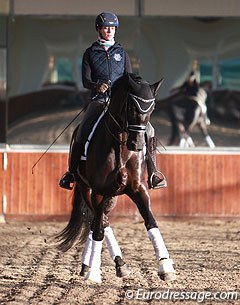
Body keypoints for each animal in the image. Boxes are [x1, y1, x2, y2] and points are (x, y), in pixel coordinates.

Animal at [56, 73, 176, 282]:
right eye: (131, 107)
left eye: (152, 108)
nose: (137, 144)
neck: (120, 144)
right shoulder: (97, 192)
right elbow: (98, 229)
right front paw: (93, 274)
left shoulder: (138, 189)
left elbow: (151, 221)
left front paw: (165, 266)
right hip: (86, 189)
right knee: (99, 222)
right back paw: (93, 266)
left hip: (111, 197)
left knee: (100, 221)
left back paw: (108, 264)